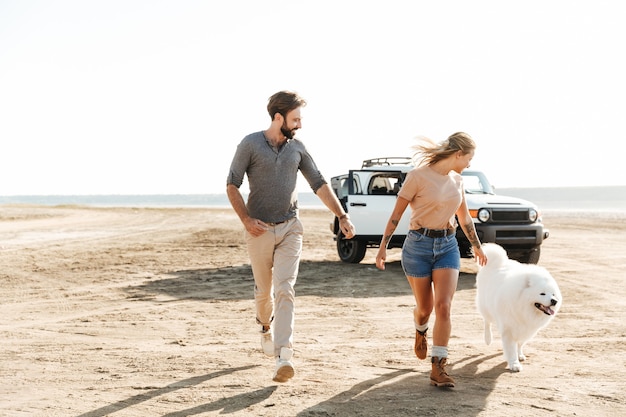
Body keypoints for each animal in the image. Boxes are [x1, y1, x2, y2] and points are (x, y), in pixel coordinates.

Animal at [476, 242, 560, 372]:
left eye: (553, 294)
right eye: (542, 294)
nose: (554, 301)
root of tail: (499, 262)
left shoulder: (526, 329)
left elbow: (520, 344)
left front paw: (519, 355)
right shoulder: (509, 329)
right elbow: (511, 348)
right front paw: (514, 364)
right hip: (485, 306)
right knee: (487, 322)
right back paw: (488, 338)